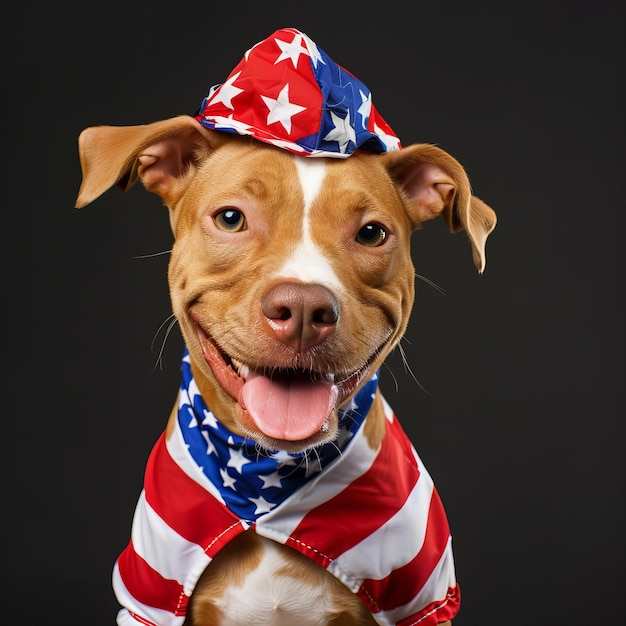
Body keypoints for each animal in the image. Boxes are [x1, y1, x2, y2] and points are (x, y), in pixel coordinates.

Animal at [74, 28, 492, 624]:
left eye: (371, 232)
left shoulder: (423, 604)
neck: (263, 486)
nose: (303, 311)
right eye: (230, 218)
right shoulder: (146, 602)